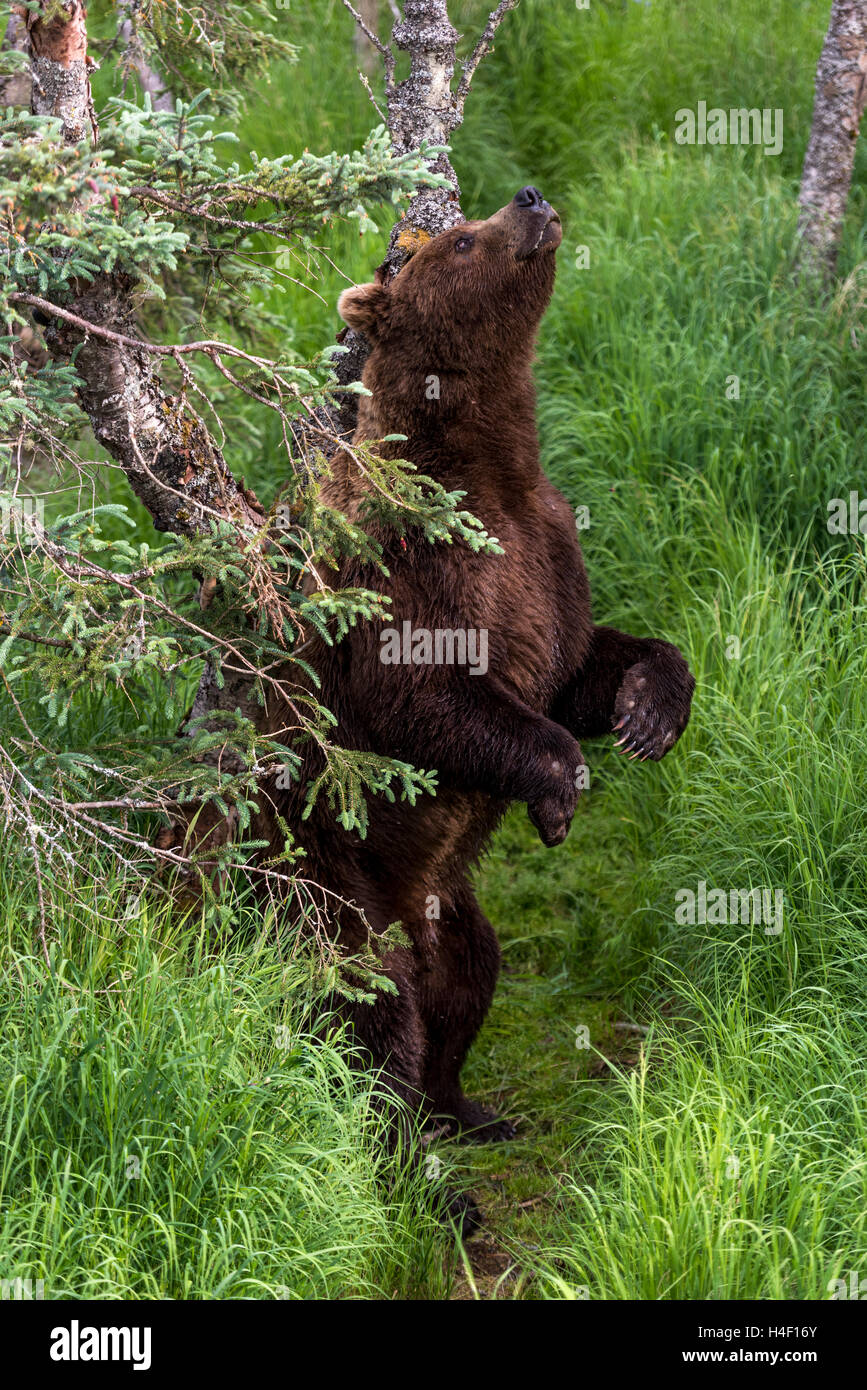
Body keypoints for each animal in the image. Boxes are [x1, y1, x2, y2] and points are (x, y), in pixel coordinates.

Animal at [262, 187, 691, 1228]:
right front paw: (560, 787)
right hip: (329, 885)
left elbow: (578, 662)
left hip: (446, 910)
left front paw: (647, 711)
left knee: (467, 982)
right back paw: (424, 1186)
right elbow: (432, 696)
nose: (529, 198)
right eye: (459, 241)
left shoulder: (545, 547)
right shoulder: (408, 563)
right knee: (367, 1030)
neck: (485, 466)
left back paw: (468, 1108)